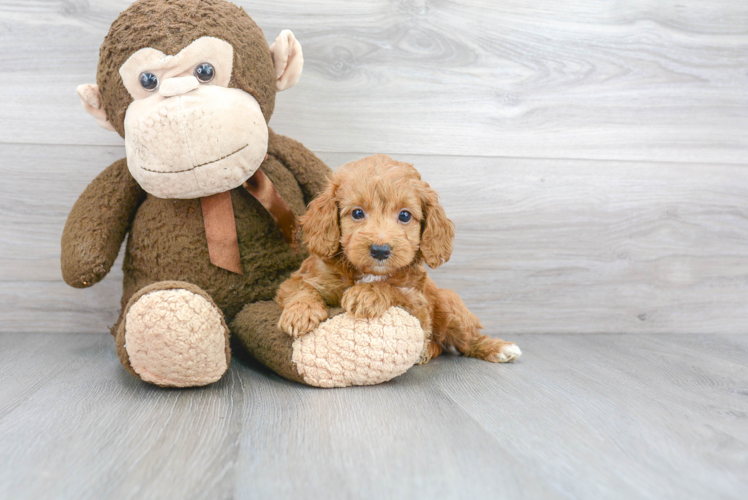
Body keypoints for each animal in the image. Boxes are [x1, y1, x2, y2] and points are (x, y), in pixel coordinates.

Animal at [274, 154, 520, 366]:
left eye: (404, 215)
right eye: (357, 213)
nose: (380, 250)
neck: (369, 273)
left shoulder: (417, 303)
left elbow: (395, 290)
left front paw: (367, 293)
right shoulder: (302, 278)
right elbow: (301, 289)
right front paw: (301, 312)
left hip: (449, 304)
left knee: (468, 339)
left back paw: (499, 348)